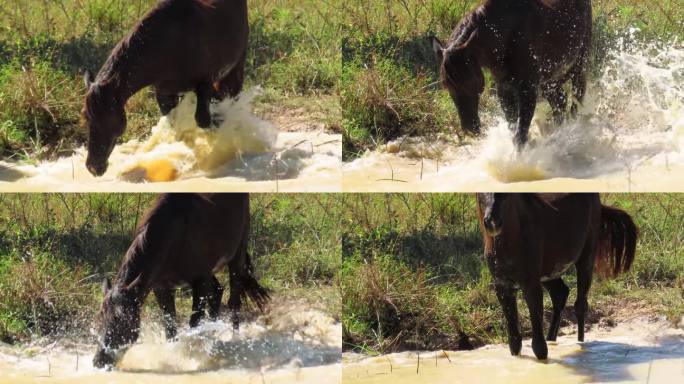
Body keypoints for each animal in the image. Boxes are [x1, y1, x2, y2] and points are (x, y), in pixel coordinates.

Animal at [83, 0, 248, 177]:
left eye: (109, 117)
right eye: (86, 117)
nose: (93, 167)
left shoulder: (204, 84)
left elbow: (203, 120)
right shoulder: (165, 95)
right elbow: (173, 129)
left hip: (237, 65)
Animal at [92, 195, 268, 368]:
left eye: (121, 321)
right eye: (99, 319)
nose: (98, 361)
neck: (173, 236)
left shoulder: (200, 280)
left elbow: (195, 322)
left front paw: (192, 355)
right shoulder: (161, 287)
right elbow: (170, 326)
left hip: (237, 254)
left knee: (234, 301)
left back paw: (233, 338)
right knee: (218, 292)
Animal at [436, 0, 592, 150]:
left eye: (467, 82)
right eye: (447, 85)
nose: (469, 128)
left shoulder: (527, 89)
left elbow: (520, 135)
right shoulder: (504, 88)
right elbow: (513, 128)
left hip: (579, 63)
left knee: (576, 99)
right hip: (549, 78)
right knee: (560, 101)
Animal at [476, 195, 636, 360]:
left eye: (507, 195)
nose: (492, 222)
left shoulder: (531, 284)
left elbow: (539, 347)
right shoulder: (502, 286)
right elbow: (515, 343)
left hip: (586, 258)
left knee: (580, 305)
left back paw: (580, 344)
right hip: (549, 273)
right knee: (560, 293)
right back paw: (552, 339)